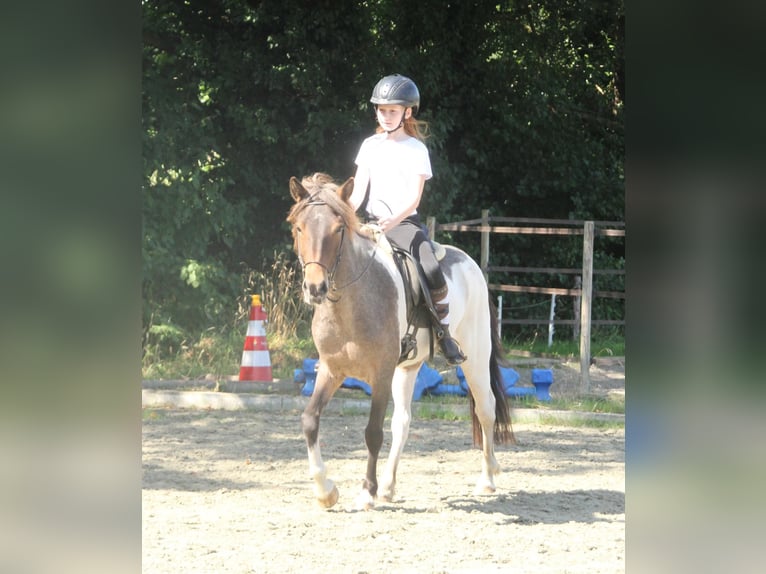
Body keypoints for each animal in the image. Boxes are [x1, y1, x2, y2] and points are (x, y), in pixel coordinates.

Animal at [287, 172, 514, 510]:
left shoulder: (380, 374)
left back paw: (486, 479)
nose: (315, 288)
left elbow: (372, 432)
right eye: (299, 227)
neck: (352, 302)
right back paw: (388, 486)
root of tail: (471, 264)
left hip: (474, 356)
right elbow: (310, 420)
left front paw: (366, 492)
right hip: (407, 368)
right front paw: (326, 490)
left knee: (485, 407)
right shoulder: (331, 370)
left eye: (338, 229)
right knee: (403, 422)